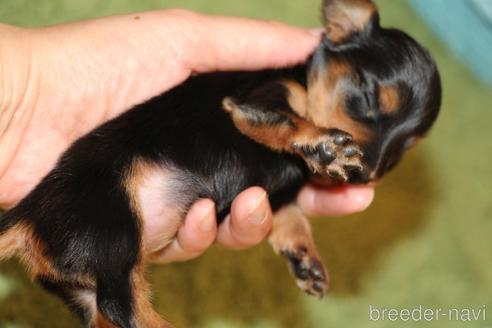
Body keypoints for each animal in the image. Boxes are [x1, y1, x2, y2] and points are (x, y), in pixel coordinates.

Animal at [0, 0, 440, 326]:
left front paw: (305, 258)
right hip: (114, 230)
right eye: (366, 97)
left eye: (401, 154)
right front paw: (326, 146)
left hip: (82, 284)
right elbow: (292, 122)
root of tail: (27, 213)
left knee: (105, 313)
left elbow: (290, 216)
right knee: (121, 306)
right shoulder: (254, 102)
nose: (366, 175)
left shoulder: (278, 197)